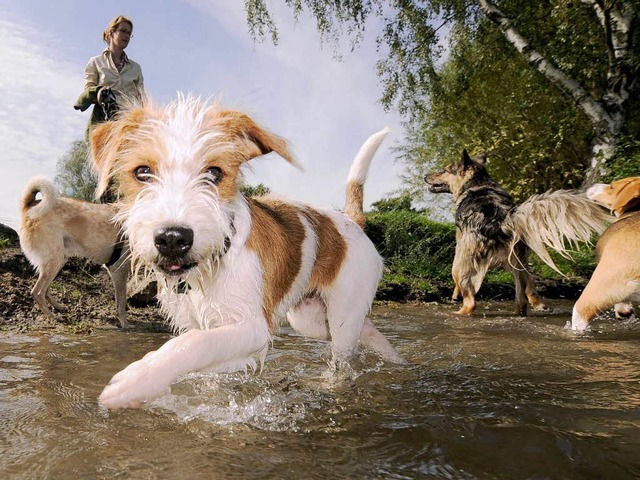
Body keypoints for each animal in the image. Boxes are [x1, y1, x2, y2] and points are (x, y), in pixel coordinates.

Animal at [18, 174, 129, 328]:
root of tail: (29, 205)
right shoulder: (118, 270)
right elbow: (121, 302)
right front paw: (125, 323)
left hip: (58, 260)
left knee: (45, 289)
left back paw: (58, 307)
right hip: (54, 260)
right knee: (37, 292)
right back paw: (53, 316)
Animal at [91, 96, 404, 408]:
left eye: (214, 173)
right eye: (142, 172)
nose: (172, 238)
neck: (212, 264)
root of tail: (351, 221)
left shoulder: (254, 328)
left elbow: (195, 343)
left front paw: (139, 379)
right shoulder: (200, 323)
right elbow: (204, 357)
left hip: (341, 318)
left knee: (344, 355)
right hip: (311, 320)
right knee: (368, 330)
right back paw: (395, 359)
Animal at [424, 150, 608, 316]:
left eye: (445, 170)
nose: (425, 176)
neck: (478, 183)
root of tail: (503, 220)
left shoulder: (459, 240)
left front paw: (455, 294)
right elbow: (530, 284)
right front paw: (538, 304)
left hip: (459, 263)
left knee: (471, 302)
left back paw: (458, 313)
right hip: (518, 261)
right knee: (524, 294)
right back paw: (531, 305)